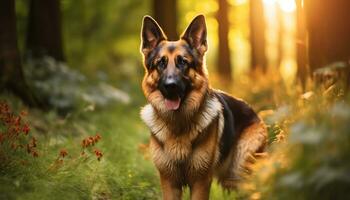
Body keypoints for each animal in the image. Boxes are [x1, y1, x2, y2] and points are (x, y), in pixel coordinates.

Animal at [139, 14, 266, 199]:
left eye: (183, 62)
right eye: (160, 63)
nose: (170, 86)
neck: (178, 126)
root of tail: (253, 111)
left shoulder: (200, 182)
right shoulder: (169, 182)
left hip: (240, 171)